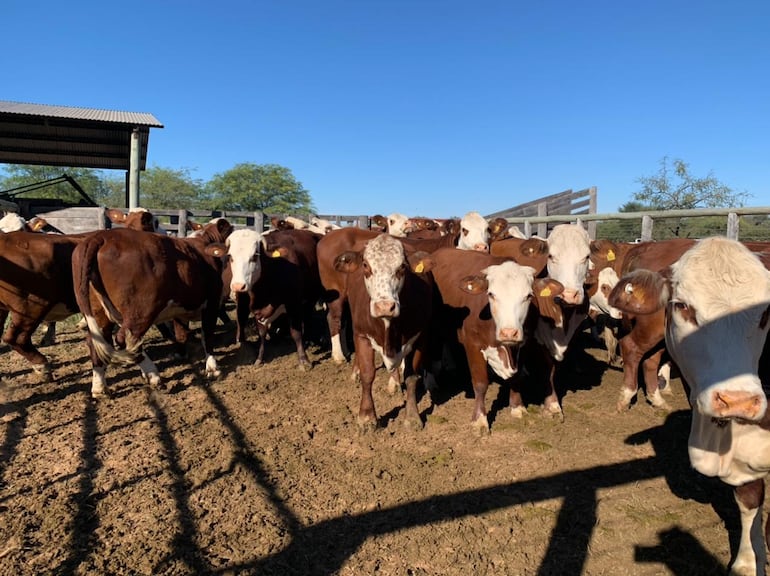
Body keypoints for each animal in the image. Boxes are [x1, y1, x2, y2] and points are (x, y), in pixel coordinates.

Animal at [72, 217, 231, 396]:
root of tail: (101, 236)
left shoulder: (180, 309)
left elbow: (181, 334)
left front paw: (180, 354)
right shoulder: (212, 302)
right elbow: (207, 335)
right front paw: (213, 368)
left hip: (99, 313)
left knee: (97, 341)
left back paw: (100, 387)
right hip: (141, 311)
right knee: (125, 339)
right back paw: (153, 375)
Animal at [332, 234, 436, 432]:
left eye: (402, 266)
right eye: (366, 265)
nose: (385, 306)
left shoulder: (421, 337)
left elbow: (411, 377)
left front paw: (412, 417)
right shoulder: (362, 335)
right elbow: (368, 374)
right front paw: (366, 417)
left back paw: (393, 383)